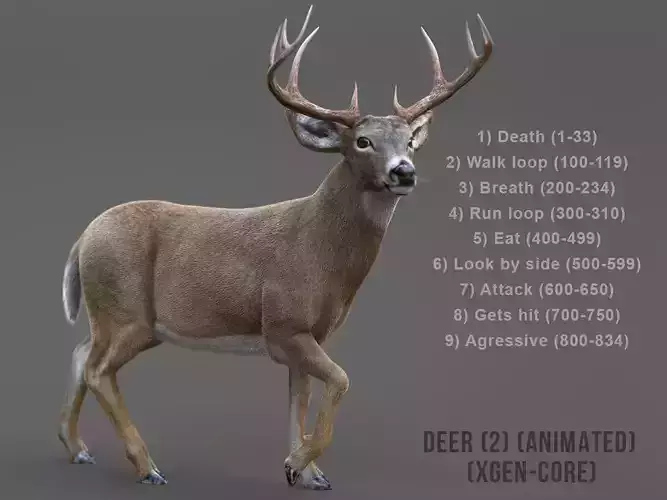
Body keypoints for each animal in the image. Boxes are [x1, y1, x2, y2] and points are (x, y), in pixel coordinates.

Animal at [57, 5, 493, 490]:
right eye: (363, 141)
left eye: (410, 141)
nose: (404, 172)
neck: (320, 251)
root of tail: (81, 240)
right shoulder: (284, 323)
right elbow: (341, 380)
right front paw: (298, 463)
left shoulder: (309, 335)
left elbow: (298, 398)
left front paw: (307, 472)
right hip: (128, 311)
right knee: (98, 369)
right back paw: (147, 466)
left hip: (118, 318)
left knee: (81, 353)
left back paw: (77, 448)